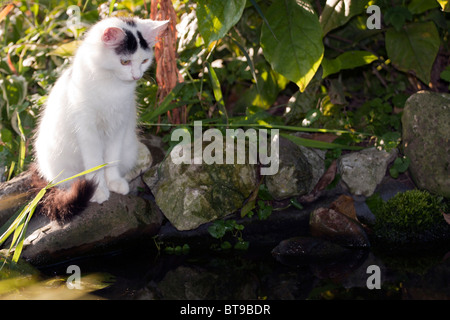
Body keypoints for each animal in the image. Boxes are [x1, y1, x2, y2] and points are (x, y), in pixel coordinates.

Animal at [31, 15, 169, 220]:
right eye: (125, 62)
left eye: (144, 60)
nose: (137, 76)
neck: (111, 86)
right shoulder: (87, 132)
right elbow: (95, 165)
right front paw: (98, 190)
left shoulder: (118, 126)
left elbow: (110, 160)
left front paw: (113, 182)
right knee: (66, 184)